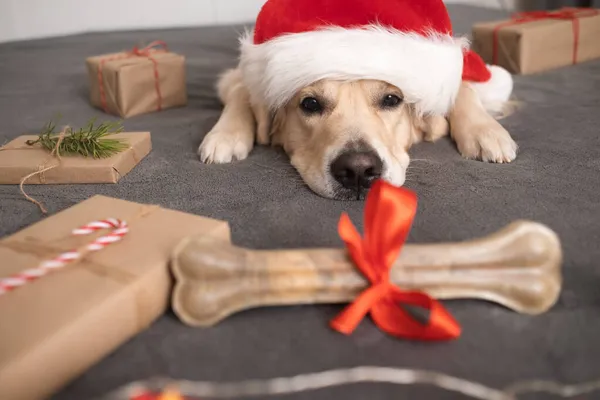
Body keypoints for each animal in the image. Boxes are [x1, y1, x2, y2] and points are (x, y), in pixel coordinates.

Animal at [196, 0, 516, 200]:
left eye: (391, 99)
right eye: (310, 104)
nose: (359, 170)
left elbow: (463, 89)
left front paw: (486, 132)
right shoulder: (238, 78)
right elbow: (241, 91)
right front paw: (225, 135)